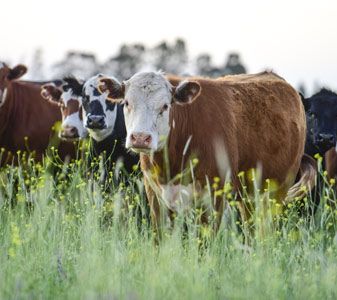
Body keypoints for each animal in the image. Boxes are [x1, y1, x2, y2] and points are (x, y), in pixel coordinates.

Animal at [97, 70, 316, 232]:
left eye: (165, 106)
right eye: (127, 103)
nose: (140, 138)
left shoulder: (213, 198)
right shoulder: (156, 196)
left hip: (275, 192)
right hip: (249, 196)